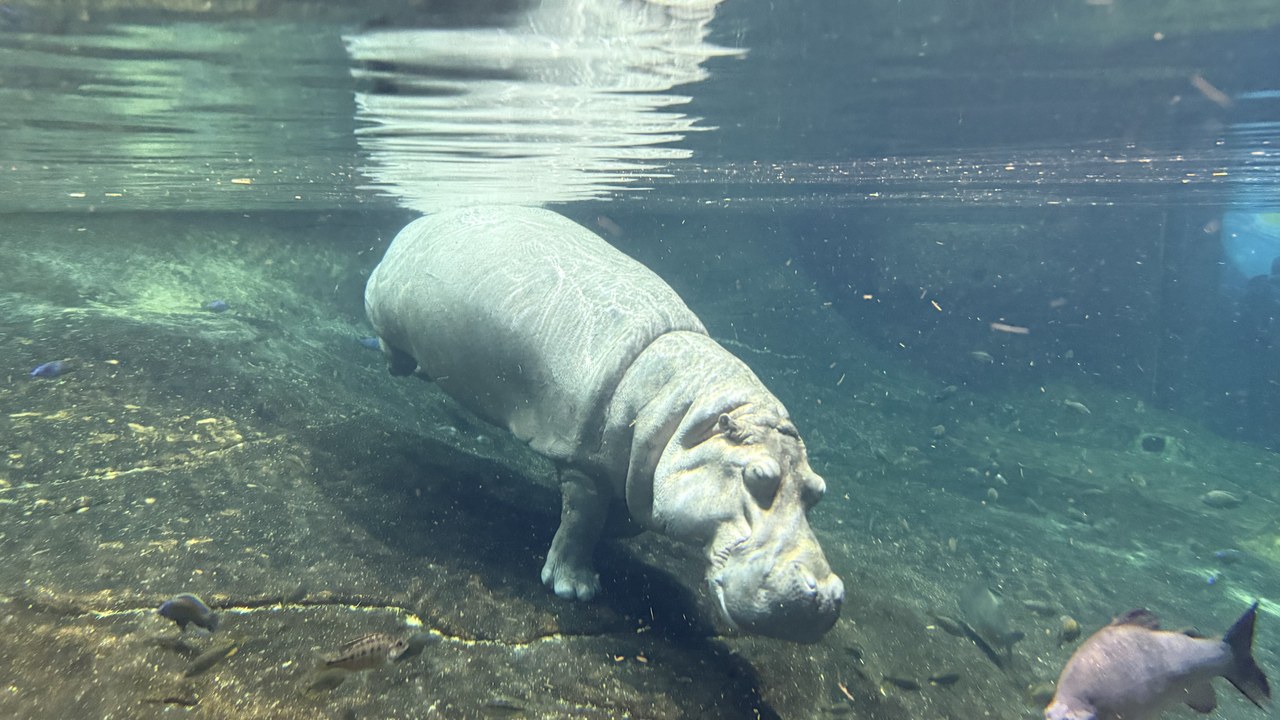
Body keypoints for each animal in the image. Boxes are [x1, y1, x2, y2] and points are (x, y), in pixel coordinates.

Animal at [365, 205, 843, 642]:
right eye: (757, 476)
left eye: (817, 490)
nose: (825, 595)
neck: (690, 415)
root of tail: (419, 222)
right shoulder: (585, 463)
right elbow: (581, 521)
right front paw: (575, 590)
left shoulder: (640, 472)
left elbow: (627, 515)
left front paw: (613, 532)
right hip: (384, 306)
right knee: (390, 348)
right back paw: (403, 365)